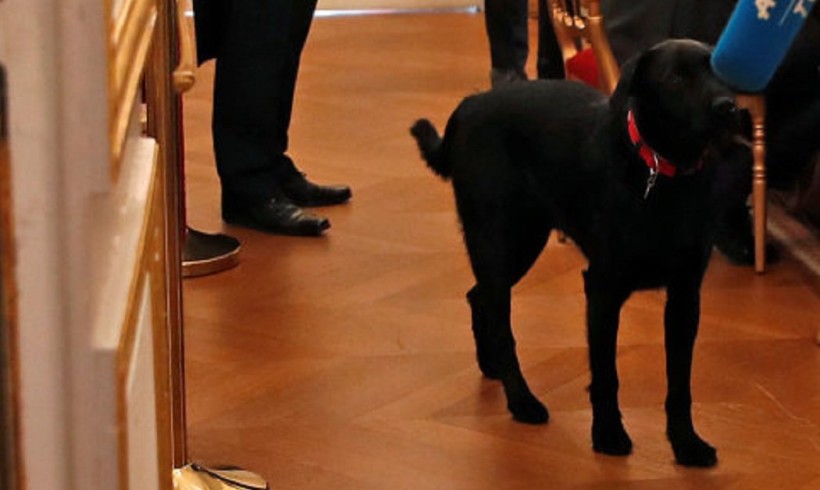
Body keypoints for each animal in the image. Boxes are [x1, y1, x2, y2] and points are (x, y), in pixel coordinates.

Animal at [414, 39, 740, 468]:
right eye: (675, 78)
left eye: (717, 69)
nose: (728, 106)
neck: (659, 172)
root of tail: (468, 104)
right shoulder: (602, 289)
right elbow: (605, 374)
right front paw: (608, 434)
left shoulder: (685, 296)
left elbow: (679, 381)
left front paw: (685, 443)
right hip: (498, 240)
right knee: (500, 321)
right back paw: (522, 400)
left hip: (523, 242)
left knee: (477, 296)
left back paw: (491, 366)